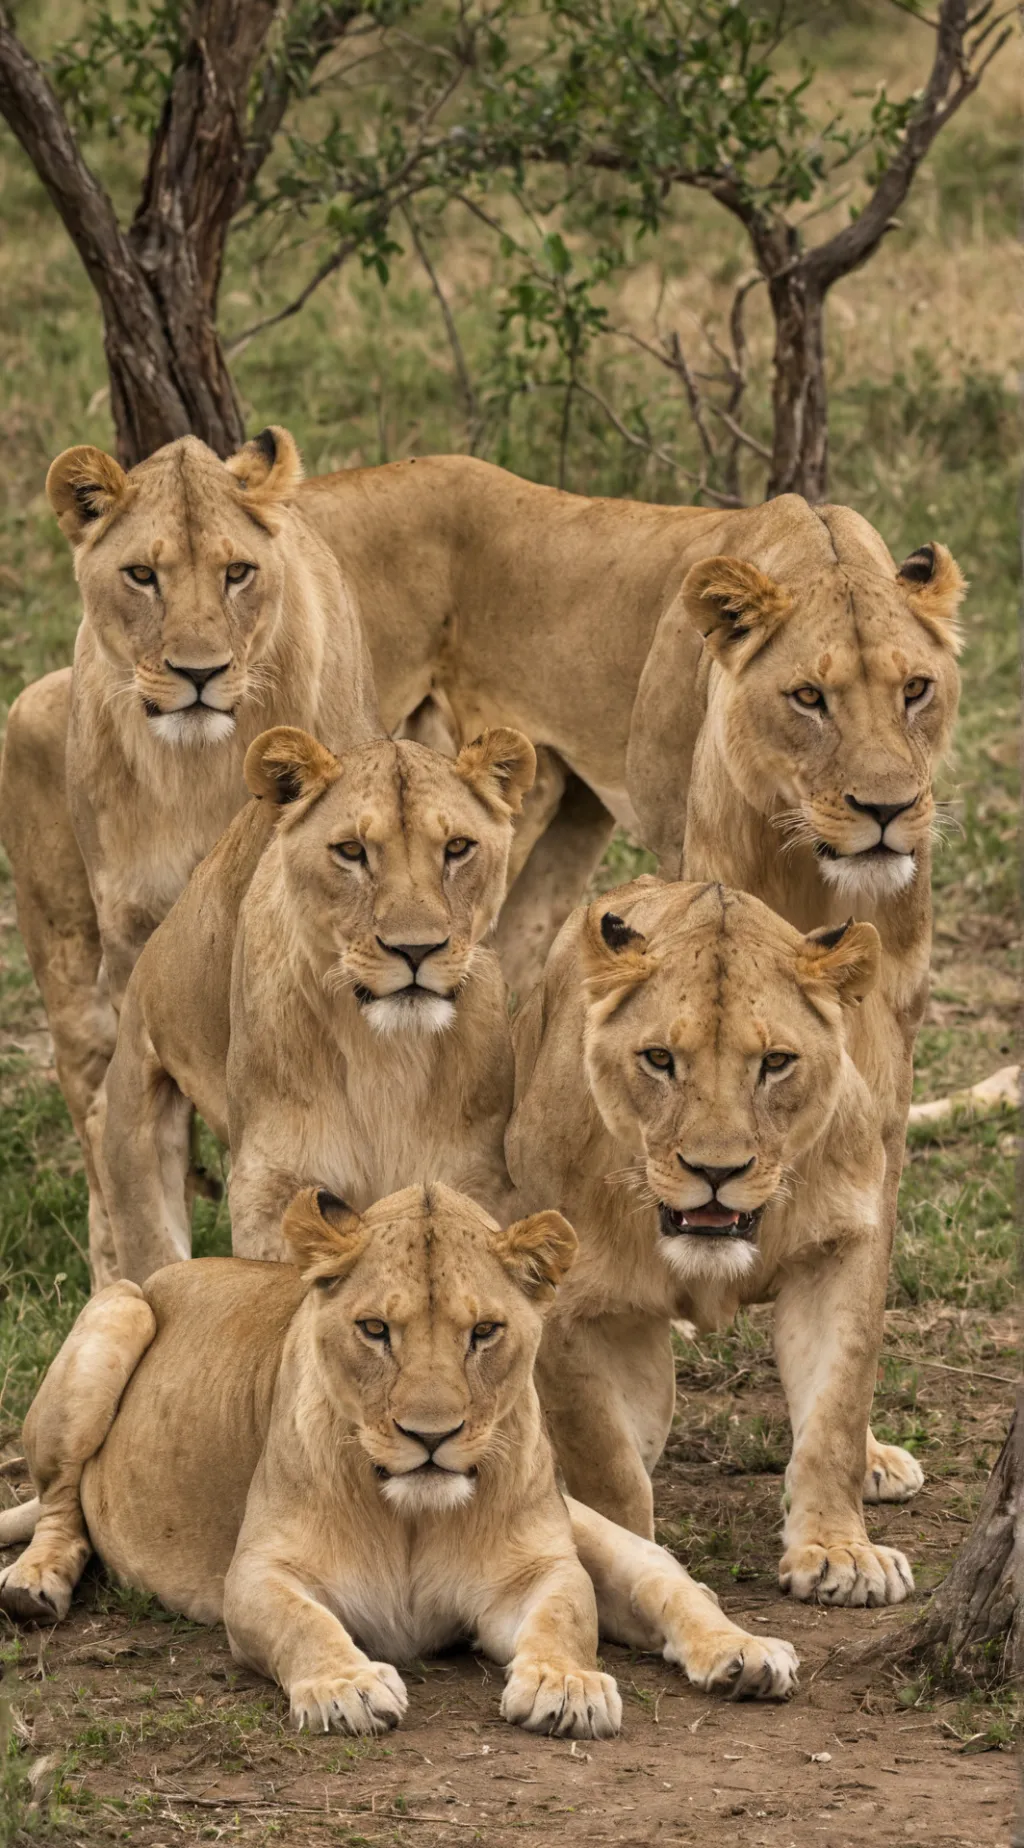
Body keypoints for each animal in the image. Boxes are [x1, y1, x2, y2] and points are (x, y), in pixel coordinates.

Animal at [0, 1183, 799, 1714]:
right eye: (376, 1330)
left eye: (484, 1332)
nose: (431, 1436)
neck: (411, 1517)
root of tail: (169, 1270)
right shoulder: (256, 1574)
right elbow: (304, 1623)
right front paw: (346, 1685)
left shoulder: (535, 1569)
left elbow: (566, 1617)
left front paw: (563, 1683)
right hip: (117, 1308)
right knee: (62, 1503)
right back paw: (33, 1585)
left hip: (579, 1521)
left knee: (668, 1575)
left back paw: (746, 1654)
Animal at [98, 723, 537, 1280]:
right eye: (351, 851)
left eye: (458, 847)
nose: (416, 949)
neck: (385, 1054)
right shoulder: (272, 1182)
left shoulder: (474, 1173)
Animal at [507, 877, 922, 1607]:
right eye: (660, 1060)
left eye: (776, 1063)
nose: (716, 1172)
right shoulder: (566, 1304)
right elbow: (605, 1459)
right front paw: (627, 1566)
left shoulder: (843, 1249)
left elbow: (837, 1411)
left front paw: (840, 1554)